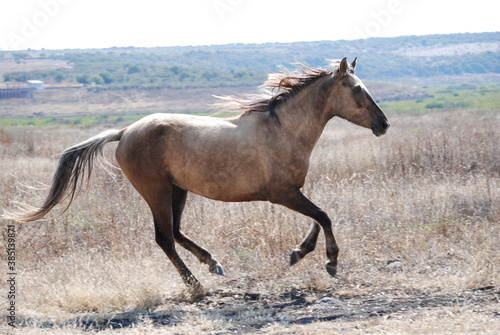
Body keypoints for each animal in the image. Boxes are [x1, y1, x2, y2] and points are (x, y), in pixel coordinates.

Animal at [8, 58, 390, 292]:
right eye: (357, 89)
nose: (384, 124)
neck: (283, 130)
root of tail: (125, 132)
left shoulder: (293, 190)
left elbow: (317, 217)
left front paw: (299, 252)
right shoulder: (282, 193)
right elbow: (324, 215)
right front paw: (331, 262)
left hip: (178, 191)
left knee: (175, 232)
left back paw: (213, 264)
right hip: (156, 191)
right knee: (164, 238)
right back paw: (196, 287)